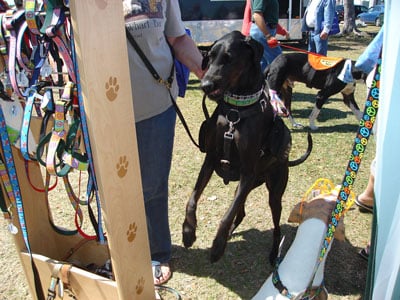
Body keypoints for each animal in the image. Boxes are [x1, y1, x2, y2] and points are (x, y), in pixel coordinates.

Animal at [181, 31, 312, 264]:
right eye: (209, 57)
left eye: (229, 58)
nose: (205, 85)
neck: (236, 110)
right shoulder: (210, 159)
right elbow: (193, 198)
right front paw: (188, 232)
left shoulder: (248, 170)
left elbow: (226, 215)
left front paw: (217, 246)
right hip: (246, 185)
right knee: (240, 212)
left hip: (272, 191)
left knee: (274, 225)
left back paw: (272, 252)